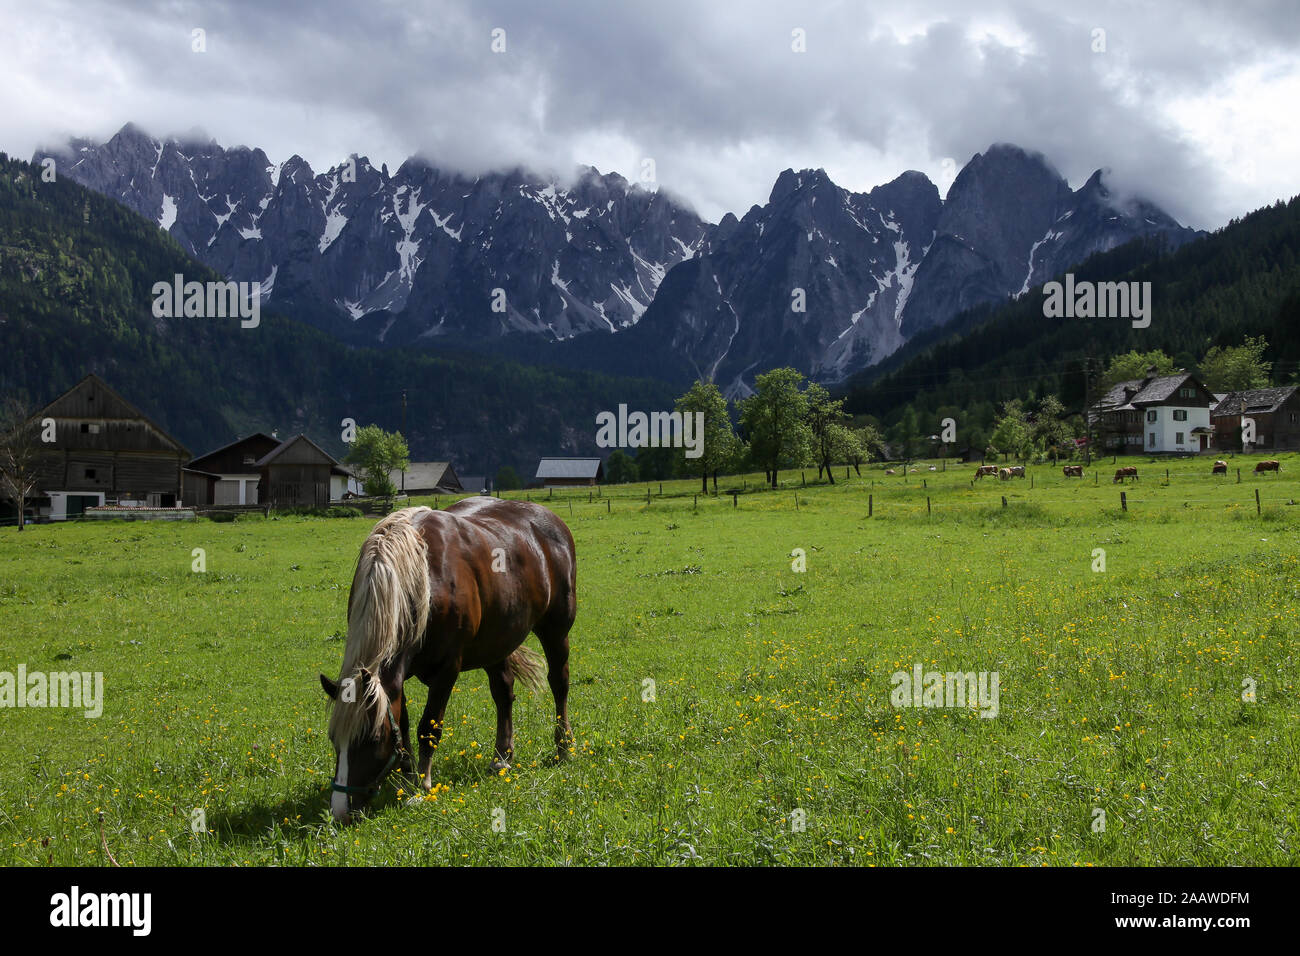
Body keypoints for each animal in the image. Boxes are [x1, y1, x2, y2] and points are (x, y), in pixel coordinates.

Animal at [318, 502, 574, 822]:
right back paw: (501, 757)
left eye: (372, 739)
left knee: (559, 684)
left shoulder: (446, 670)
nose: (340, 811)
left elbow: (428, 726)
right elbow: (403, 725)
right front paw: (407, 780)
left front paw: (422, 785)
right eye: (333, 739)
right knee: (503, 693)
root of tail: (548, 516)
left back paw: (564, 746)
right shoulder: (397, 680)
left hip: (556, 630)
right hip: (497, 641)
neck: (423, 580)